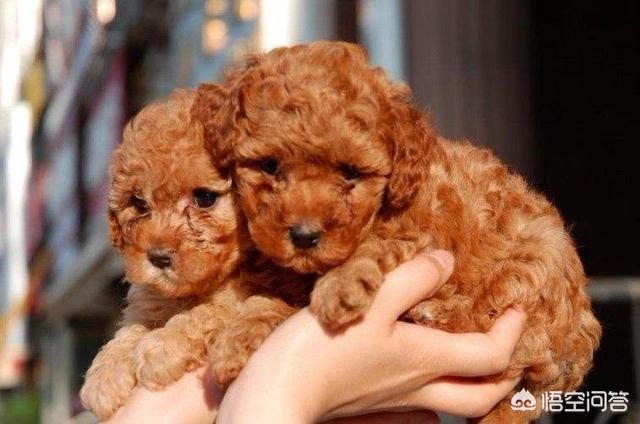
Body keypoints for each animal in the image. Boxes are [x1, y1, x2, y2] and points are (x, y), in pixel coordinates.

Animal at [80, 88, 299, 419]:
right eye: (139, 204)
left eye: (205, 198)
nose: (157, 258)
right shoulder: (149, 301)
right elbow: (130, 329)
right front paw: (105, 375)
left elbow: (207, 314)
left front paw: (161, 347)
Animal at [198, 41, 602, 422]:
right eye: (269, 166)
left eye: (352, 173)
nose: (304, 235)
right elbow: (264, 303)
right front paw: (236, 342)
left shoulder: (418, 236)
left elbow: (373, 247)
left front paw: (340, 288)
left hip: (534, 265)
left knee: (493, 314)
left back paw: (436, 314)